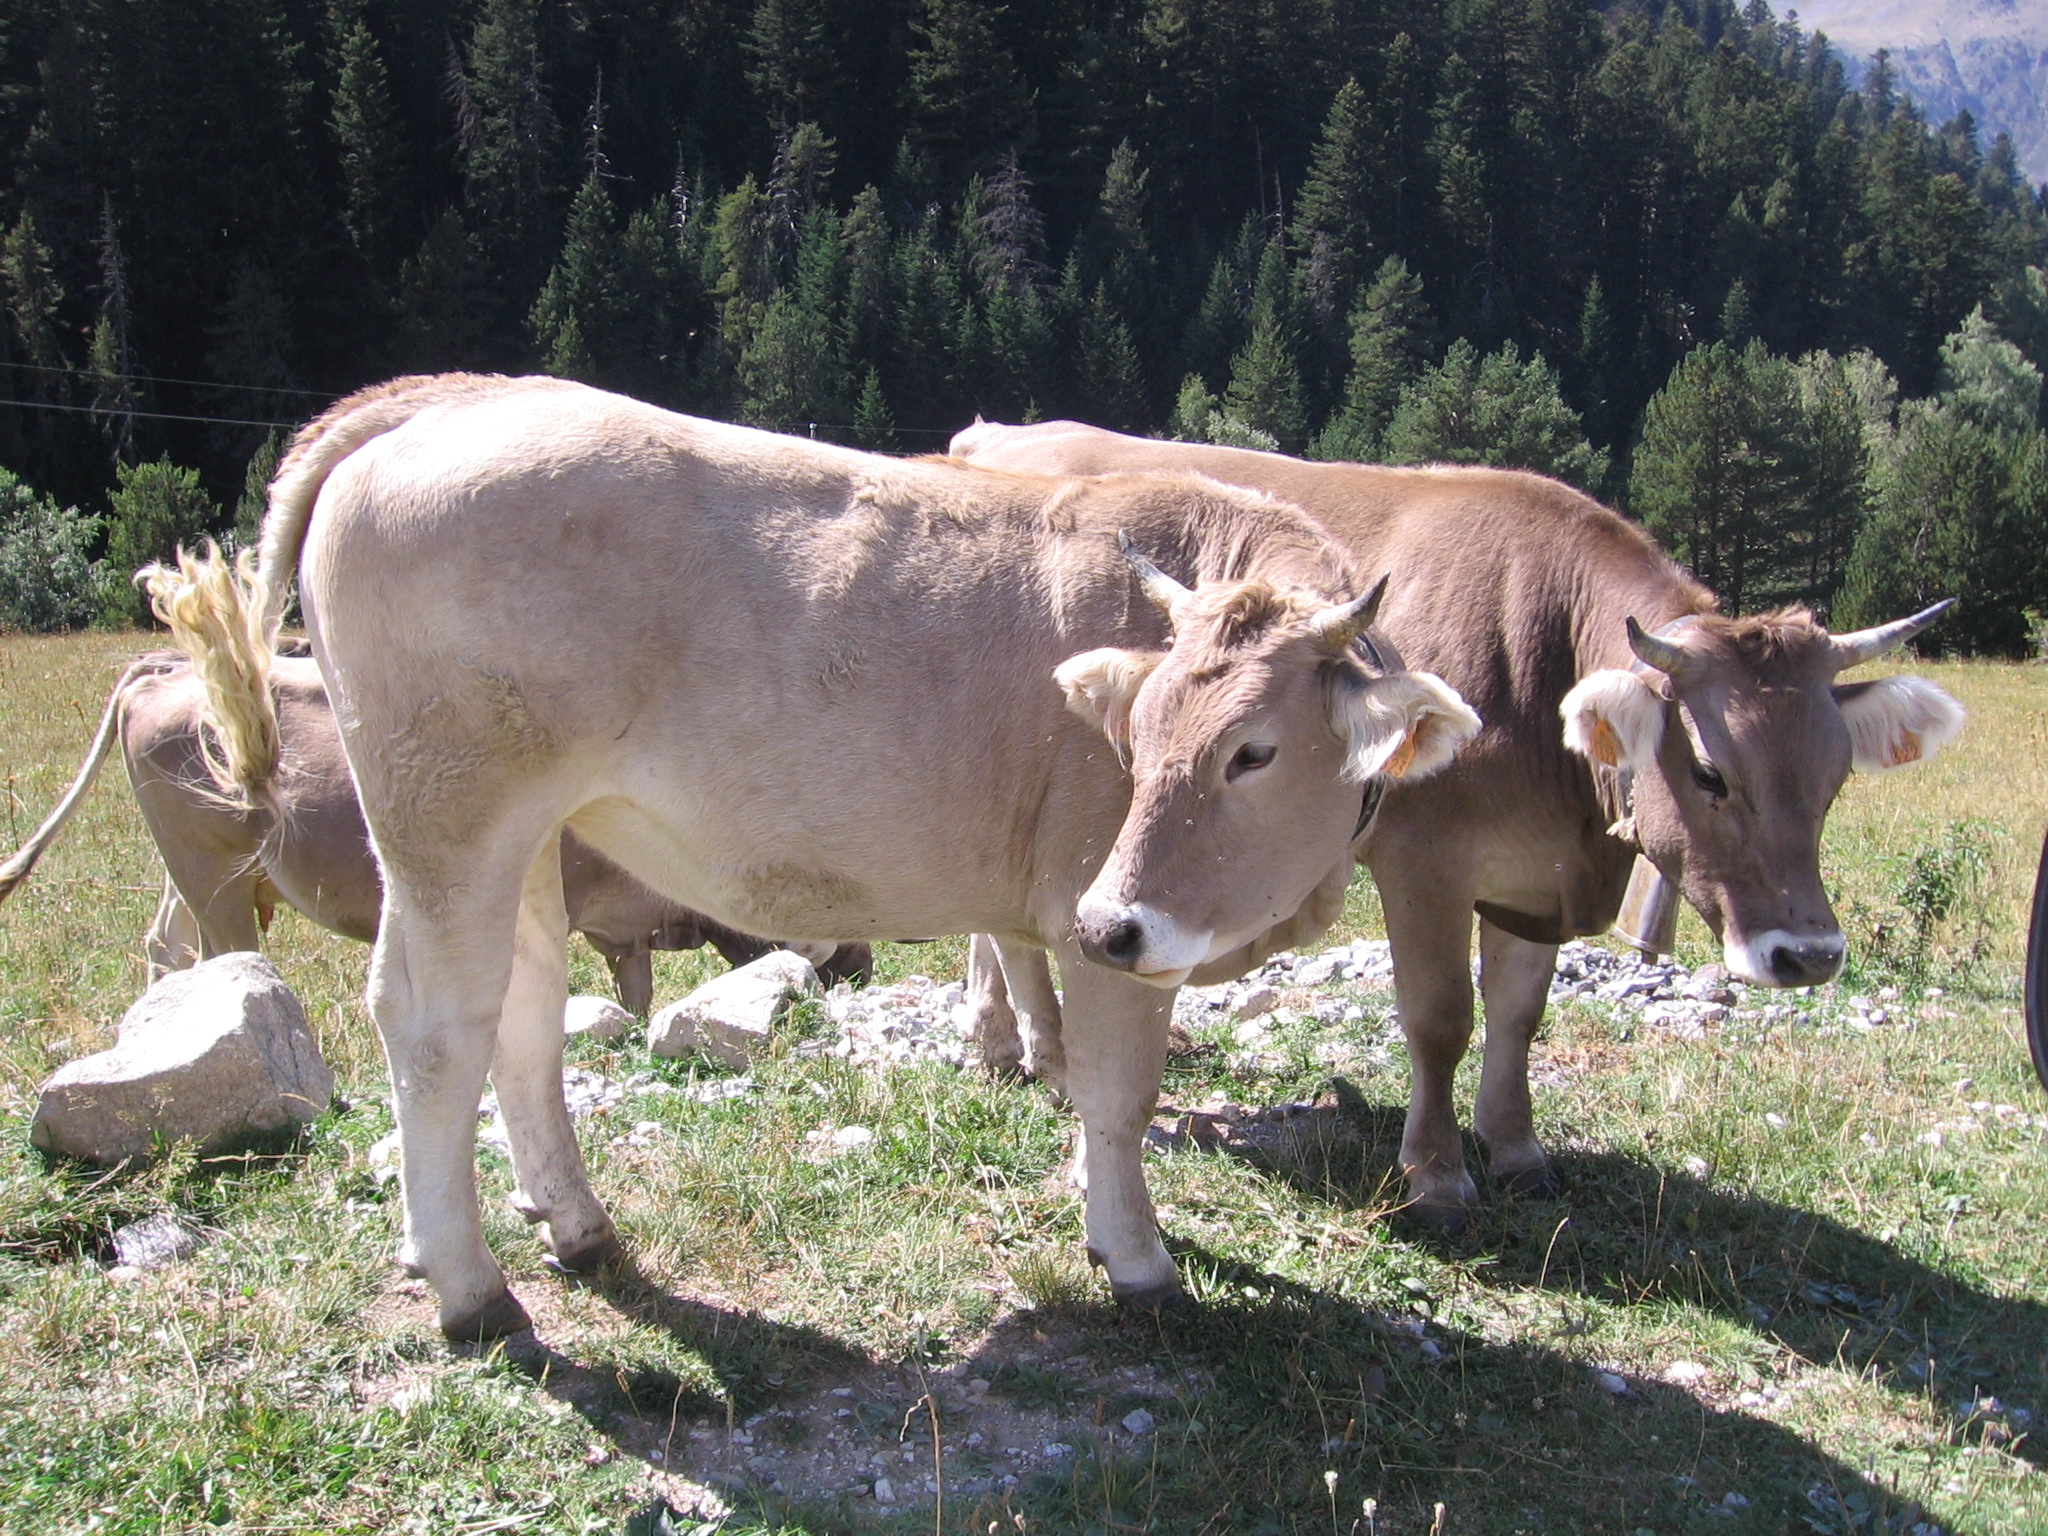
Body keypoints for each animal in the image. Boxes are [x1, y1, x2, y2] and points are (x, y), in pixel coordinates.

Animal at [0, 651, 872, 1013]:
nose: (861, 970)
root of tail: (166, 668)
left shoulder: (625, 927)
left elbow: (635, 992)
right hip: (212, 878)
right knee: (221, 953)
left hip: (203, 874)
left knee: (164, 943)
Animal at [144, 372, 1479, 1339]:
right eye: (1139, 742)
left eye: (1251, 751)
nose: (1111, 922)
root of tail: (444, 400)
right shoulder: (1105, 920)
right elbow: (1118, 1096)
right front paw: (1136, 1255)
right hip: (446, 815)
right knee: (431, 1027)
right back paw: (473, 1290)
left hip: (524, 834)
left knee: (516, 1012)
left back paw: (576, 1224)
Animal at [948, 419, 1965, 1223]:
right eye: (1711, 772)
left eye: (1834, 777)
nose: (1810, 955)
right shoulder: (1424, 862)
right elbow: (1440, 1017)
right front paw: (1437, 1175)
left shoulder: (1532, 878)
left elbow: (1519, 1013)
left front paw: (1516, 1148)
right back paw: (1024, 1045)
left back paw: (1008, 1042)